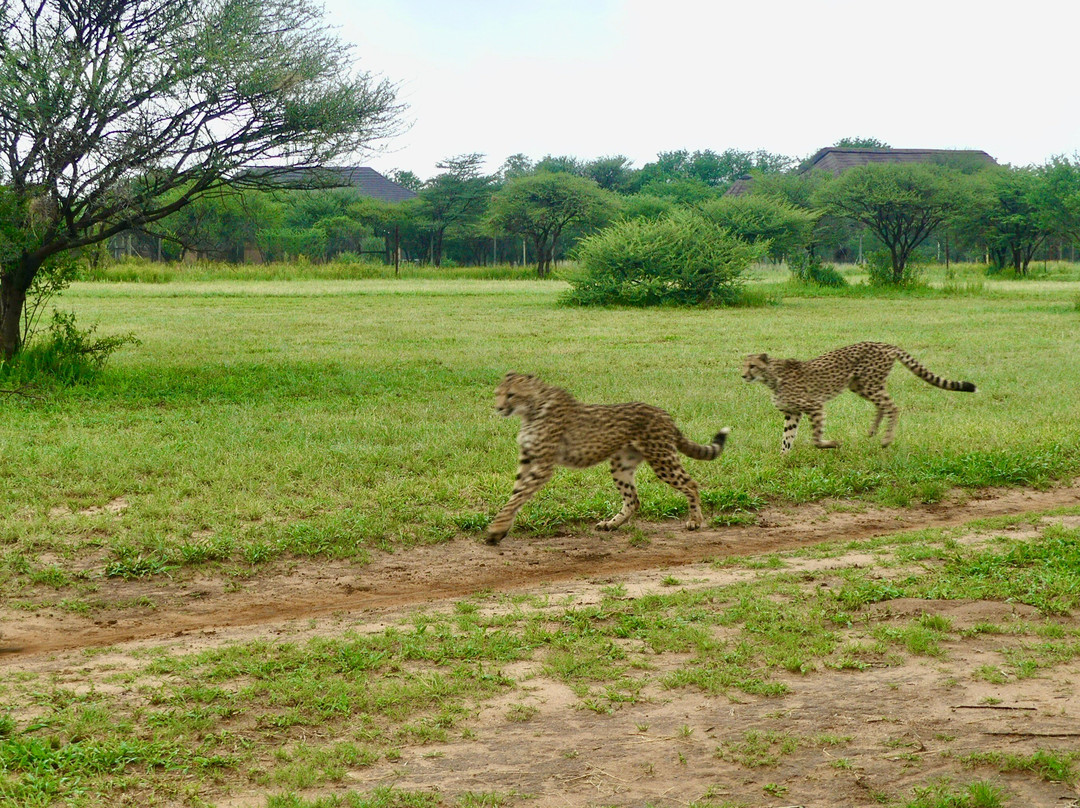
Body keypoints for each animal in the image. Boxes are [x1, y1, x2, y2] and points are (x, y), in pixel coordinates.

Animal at [486, 372, 730, 545]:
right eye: (498, 393)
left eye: (510, 394)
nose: (498, 408)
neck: (532, 407)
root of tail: (663, 413)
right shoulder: (528, 460)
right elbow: (516, 495)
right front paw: (501, 529)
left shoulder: (543, 465)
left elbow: (517, 497)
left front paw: (497, 529)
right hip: (621, 465)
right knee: (633, 500)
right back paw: (611, 524)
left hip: (662, 459)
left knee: (691, 484)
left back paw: (695, 521)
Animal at [741, 342, 976, 453]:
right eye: (743, 365)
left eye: (752, 365)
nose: (743, 375)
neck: (771, 377)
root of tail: (885, 344)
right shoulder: (792, 413)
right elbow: (787, 438)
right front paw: (782, 459)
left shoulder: (815, 406)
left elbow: (815, 439)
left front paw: (832, 444)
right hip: (860, 385)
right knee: (883, 405)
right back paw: (873, 431)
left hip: (869, 383)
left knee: (893, 406)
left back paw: (886, 439)